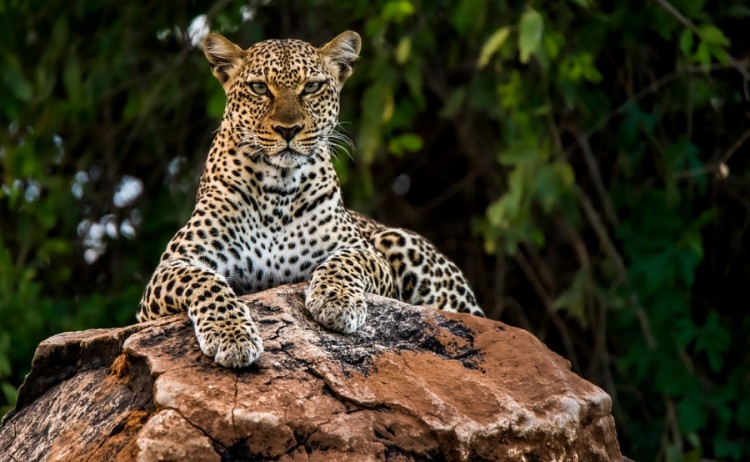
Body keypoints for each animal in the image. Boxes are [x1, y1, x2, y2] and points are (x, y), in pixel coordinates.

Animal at [137, 30, 484, 368]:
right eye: (260, 88)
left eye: (312, 87)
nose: (288, 130)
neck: (278, 189)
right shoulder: (171, 269)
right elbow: (205, 281)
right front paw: (232, 335)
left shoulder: (365, 252)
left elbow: (344, 262)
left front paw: (336, 301)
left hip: (398, 241)